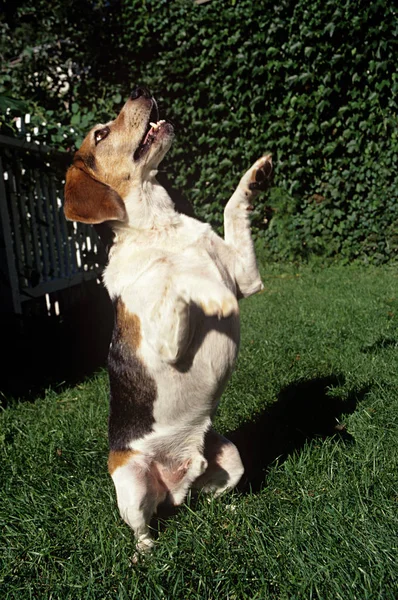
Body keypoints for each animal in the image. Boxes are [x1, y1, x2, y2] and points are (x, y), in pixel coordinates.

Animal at [63, 85, 272, 552]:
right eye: (101, 134)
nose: (139, 90)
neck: (159, 228)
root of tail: (174, 486)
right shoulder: (164, 339)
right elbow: (177, 286)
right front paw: (209, 295)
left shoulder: (247, 278)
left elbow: (231, 209)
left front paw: (253, 177)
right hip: (132, 482)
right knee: (142, 526)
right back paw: (145, 553)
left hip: (229, 456)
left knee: (207, 495)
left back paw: (229, 511)